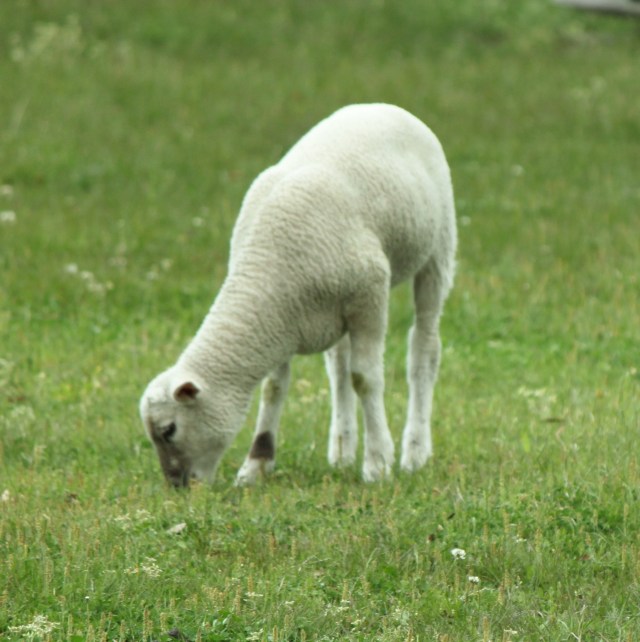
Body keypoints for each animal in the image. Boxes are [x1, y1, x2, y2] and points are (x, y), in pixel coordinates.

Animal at [139, 103, 457, 488]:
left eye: (169, 429)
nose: (179, 487)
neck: (269, 265)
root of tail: (378, 105)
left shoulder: (369, 296)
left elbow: (366, 378)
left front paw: (378, 463)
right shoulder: (280, 318)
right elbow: (275, 387)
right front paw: (257, 464)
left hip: (438, 246)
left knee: (423, 348)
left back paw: (415, 452)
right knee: (338, 365)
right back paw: (342, 449)